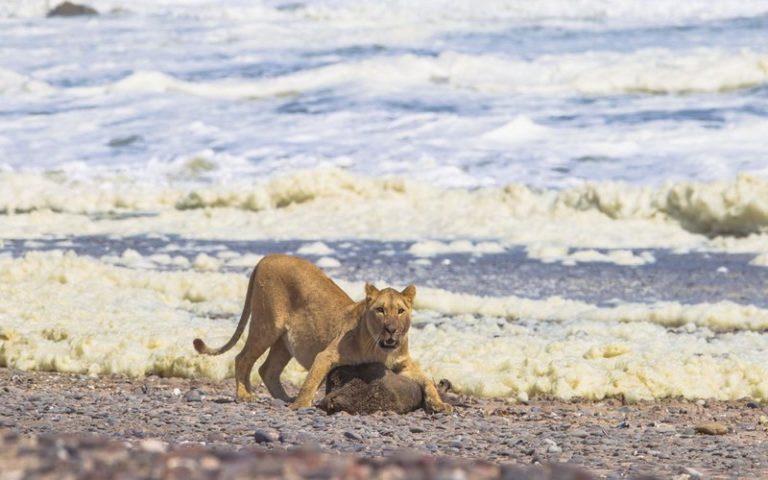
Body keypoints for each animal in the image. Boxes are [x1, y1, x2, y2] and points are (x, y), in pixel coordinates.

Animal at [193, 254, 452, 413]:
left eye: (400, 310)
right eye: (380, 310)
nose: (391, 329)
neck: (382, 349)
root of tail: (267, 257)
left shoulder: (403, 364)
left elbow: (427, 380)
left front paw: (440, 405)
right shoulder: (326, 355)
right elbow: (311, 380)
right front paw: (300, 405)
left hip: (285, 342)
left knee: (267, 369)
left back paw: (283, 398)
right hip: (267, 324)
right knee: (243, 358)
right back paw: (246, 395)